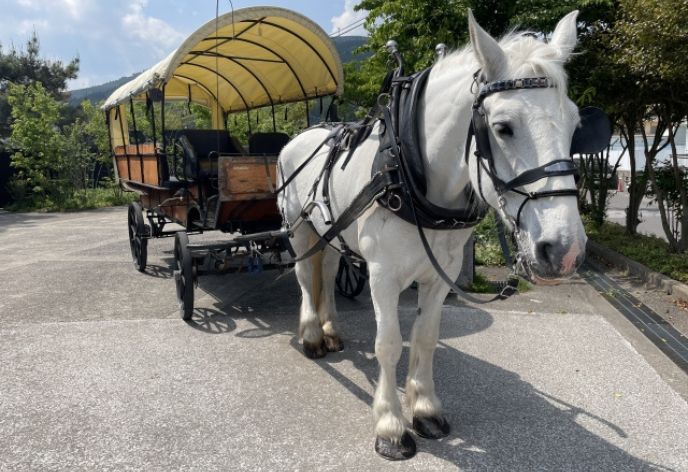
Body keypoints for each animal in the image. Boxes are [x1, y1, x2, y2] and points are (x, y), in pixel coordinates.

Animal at [277, 9, 586, 460]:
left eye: (575, 123)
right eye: (503, 127)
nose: (565, 250)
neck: (410, 172)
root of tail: (304, 135)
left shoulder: (442, 273)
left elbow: (425, 337)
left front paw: (424, 408)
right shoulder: (382, 275)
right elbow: (388, 343)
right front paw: (390, 425)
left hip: (331, 230)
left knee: (330, 269)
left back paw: (332, 330)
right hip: (299, 228)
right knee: (304, 277)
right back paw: (313, 335)